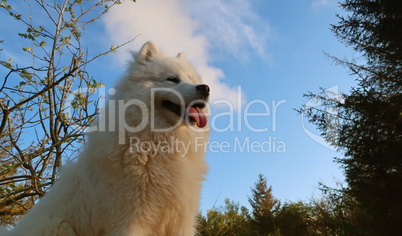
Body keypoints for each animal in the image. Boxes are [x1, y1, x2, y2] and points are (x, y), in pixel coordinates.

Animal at [3, 41, 210, 235]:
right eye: (172, 79)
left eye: (192, 79)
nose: (205, 88)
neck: (160, 142)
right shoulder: (129, 221)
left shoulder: (181, 220)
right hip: (58, 226)